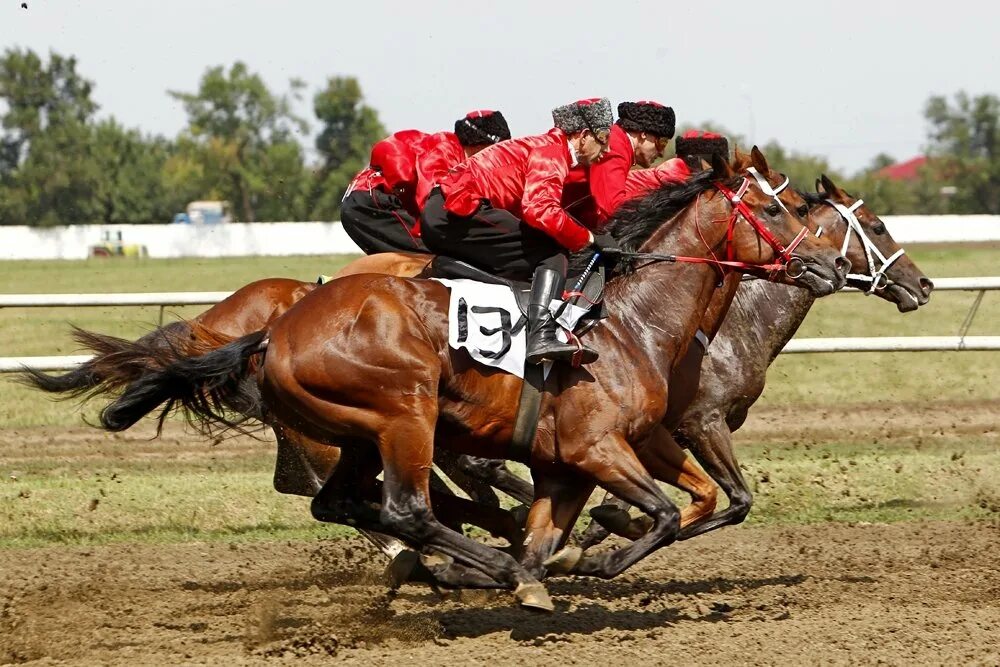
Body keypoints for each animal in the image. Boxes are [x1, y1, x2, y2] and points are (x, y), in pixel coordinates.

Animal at [72, 150, 844, 612]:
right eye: (774, 208)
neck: (631, 321)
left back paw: (462, 566)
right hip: (404, 417)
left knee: (343, 502)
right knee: (408, 509)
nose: (830, 267)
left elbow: (573, 527)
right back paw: (468, 566)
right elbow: (656, 512)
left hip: (359, 436)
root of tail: (273, 330)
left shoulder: (574, 464)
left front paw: (562, 558)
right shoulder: (602, 448)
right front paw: (591, 557)